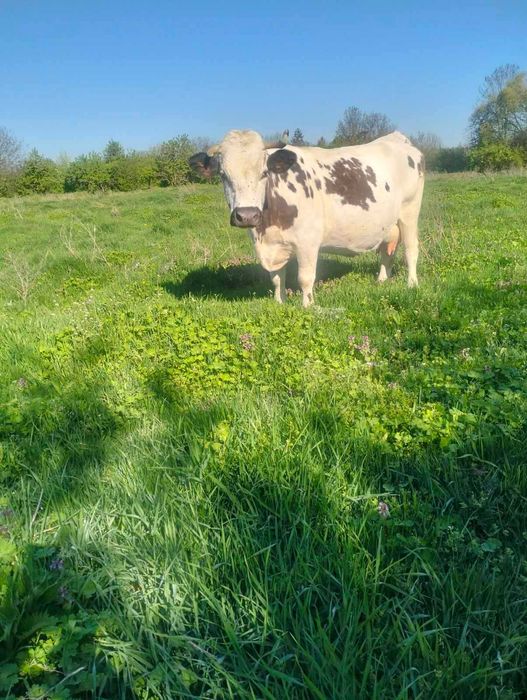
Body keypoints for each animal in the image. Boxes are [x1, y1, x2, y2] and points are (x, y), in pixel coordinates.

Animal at [189, 130, 424, 307]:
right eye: (223, 175)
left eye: (264, 173)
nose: (247, 215)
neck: (266, 227)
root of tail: (396, 138)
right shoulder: (273, 244)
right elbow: (277, 278)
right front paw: (280, 302)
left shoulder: (307, 241)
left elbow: (305, 277)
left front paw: (308, 306)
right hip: (389, 224)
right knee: (387, 252)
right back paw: (382, 280)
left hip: (409, 211)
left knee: (411, 249)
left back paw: (412, 283)